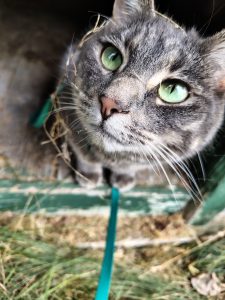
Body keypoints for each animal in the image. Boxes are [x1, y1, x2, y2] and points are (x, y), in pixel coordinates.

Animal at [59, 0, 225, 191]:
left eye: (173, 90)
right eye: (111, 56)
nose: (109, 103)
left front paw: (124, 177)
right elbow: (84, 155)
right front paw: (87, 175)